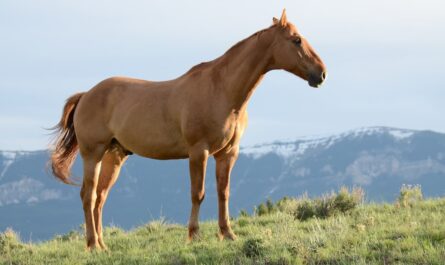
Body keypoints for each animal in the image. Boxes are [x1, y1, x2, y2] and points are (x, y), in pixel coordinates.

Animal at [50, 9, 326, 250]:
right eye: (296, 40)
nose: (321, 74)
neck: (222, 90)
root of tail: (86, 94)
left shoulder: (228, 153)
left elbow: (223, 192)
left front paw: (228, 234)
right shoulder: (198, 152)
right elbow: (198, 193)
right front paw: (193, 236)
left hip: (113, 156)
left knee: (100, 198)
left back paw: (103, 245)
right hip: (93, 154)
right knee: (88, 196)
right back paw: (92, 245)